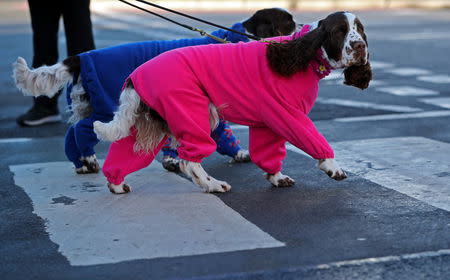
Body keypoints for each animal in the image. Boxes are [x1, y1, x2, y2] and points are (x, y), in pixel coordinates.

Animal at [11, 7, 296, 174]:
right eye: (289, 22)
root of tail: (81, 57)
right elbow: (221, 133)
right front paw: (240, 153)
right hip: (106, 108)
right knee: (81, 131)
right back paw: (88, 159)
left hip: (92, 105)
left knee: (73, 133)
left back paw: (80, 162)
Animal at [93, 11, 370, 195]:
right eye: (340, 31)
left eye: (359, 28)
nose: (359, 46)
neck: (303, 53)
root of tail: (134, 77)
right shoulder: (289, 115)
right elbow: (315, 140)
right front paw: (333, 168)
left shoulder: (267, 122)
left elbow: (268, 152)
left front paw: (277, 177)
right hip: (192, 113)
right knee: (188, 160)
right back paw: (214, 185)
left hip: (149, 123)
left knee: (125, 154)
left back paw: (116, 184)